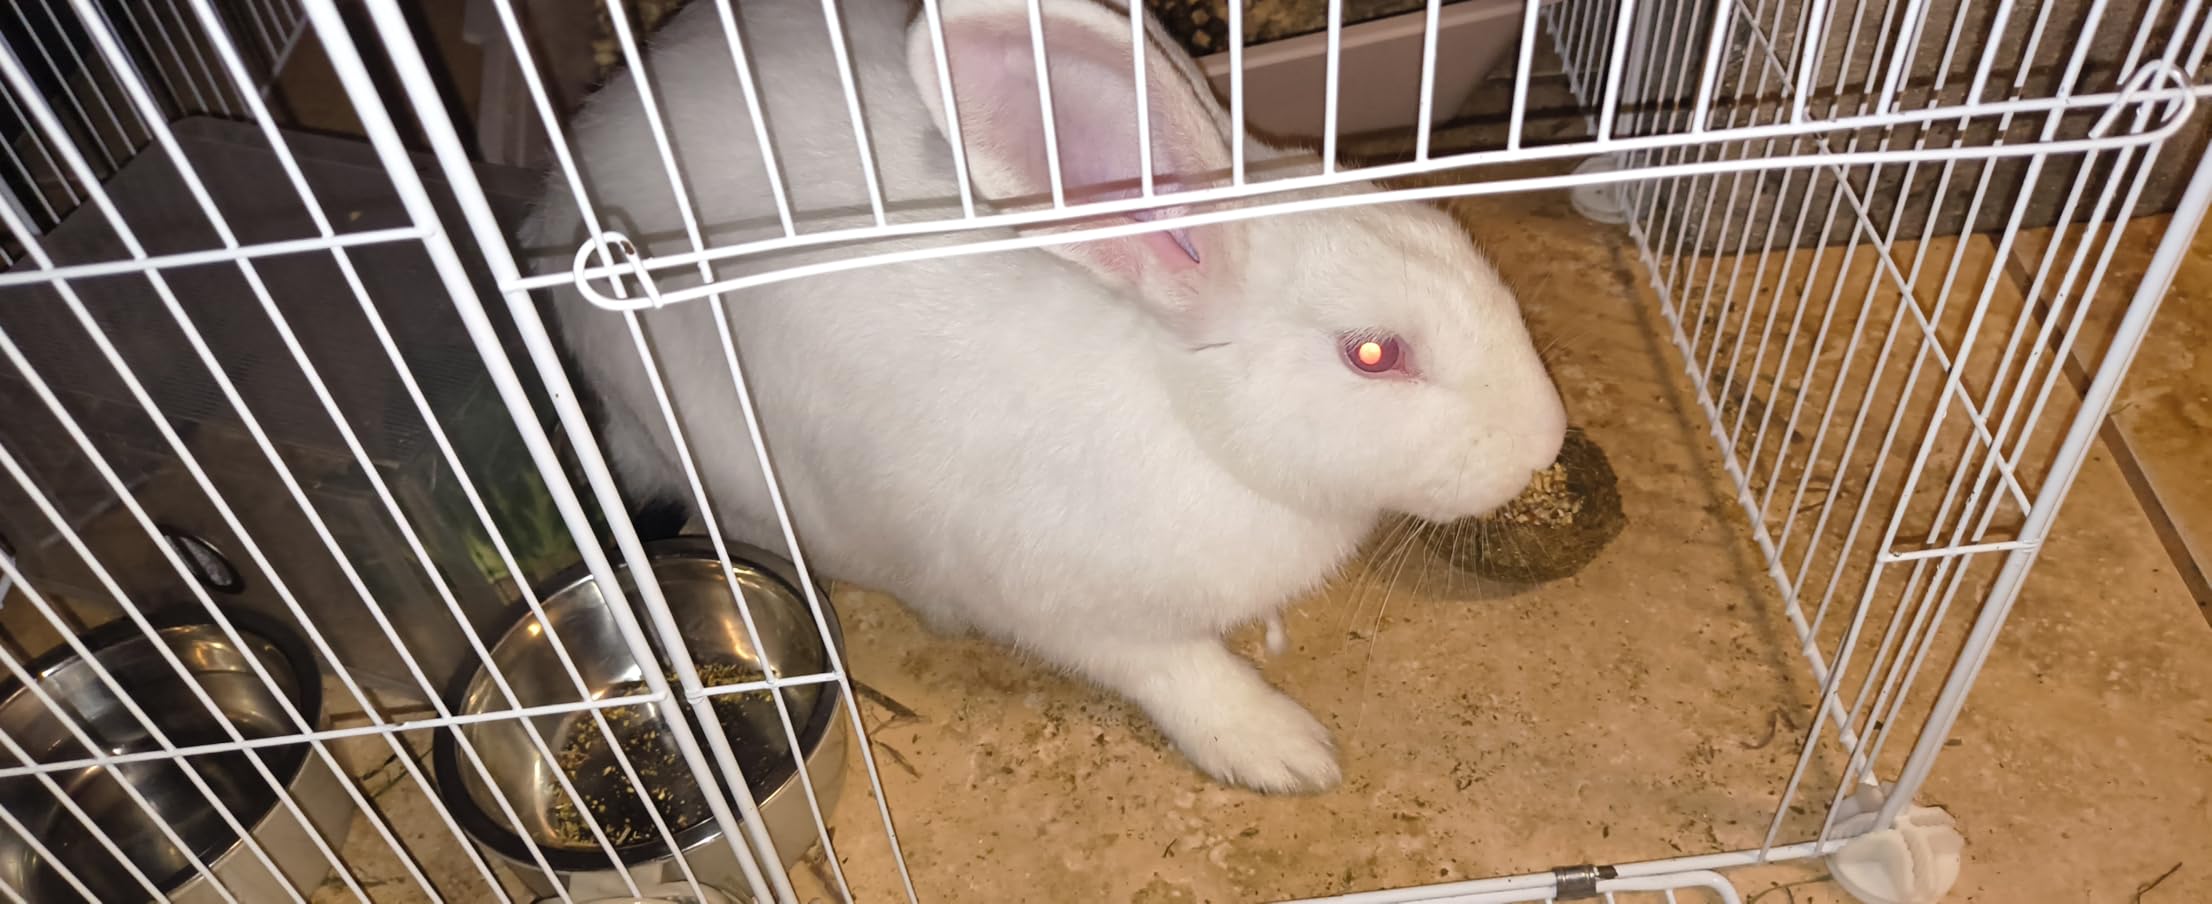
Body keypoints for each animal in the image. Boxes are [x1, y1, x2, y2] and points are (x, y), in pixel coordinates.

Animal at [525, 0, 1567, 793]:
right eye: (1374, 353)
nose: (1546, 441)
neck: (1195, 420)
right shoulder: (1080, 612)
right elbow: (1182, 674)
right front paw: (1286, 752)